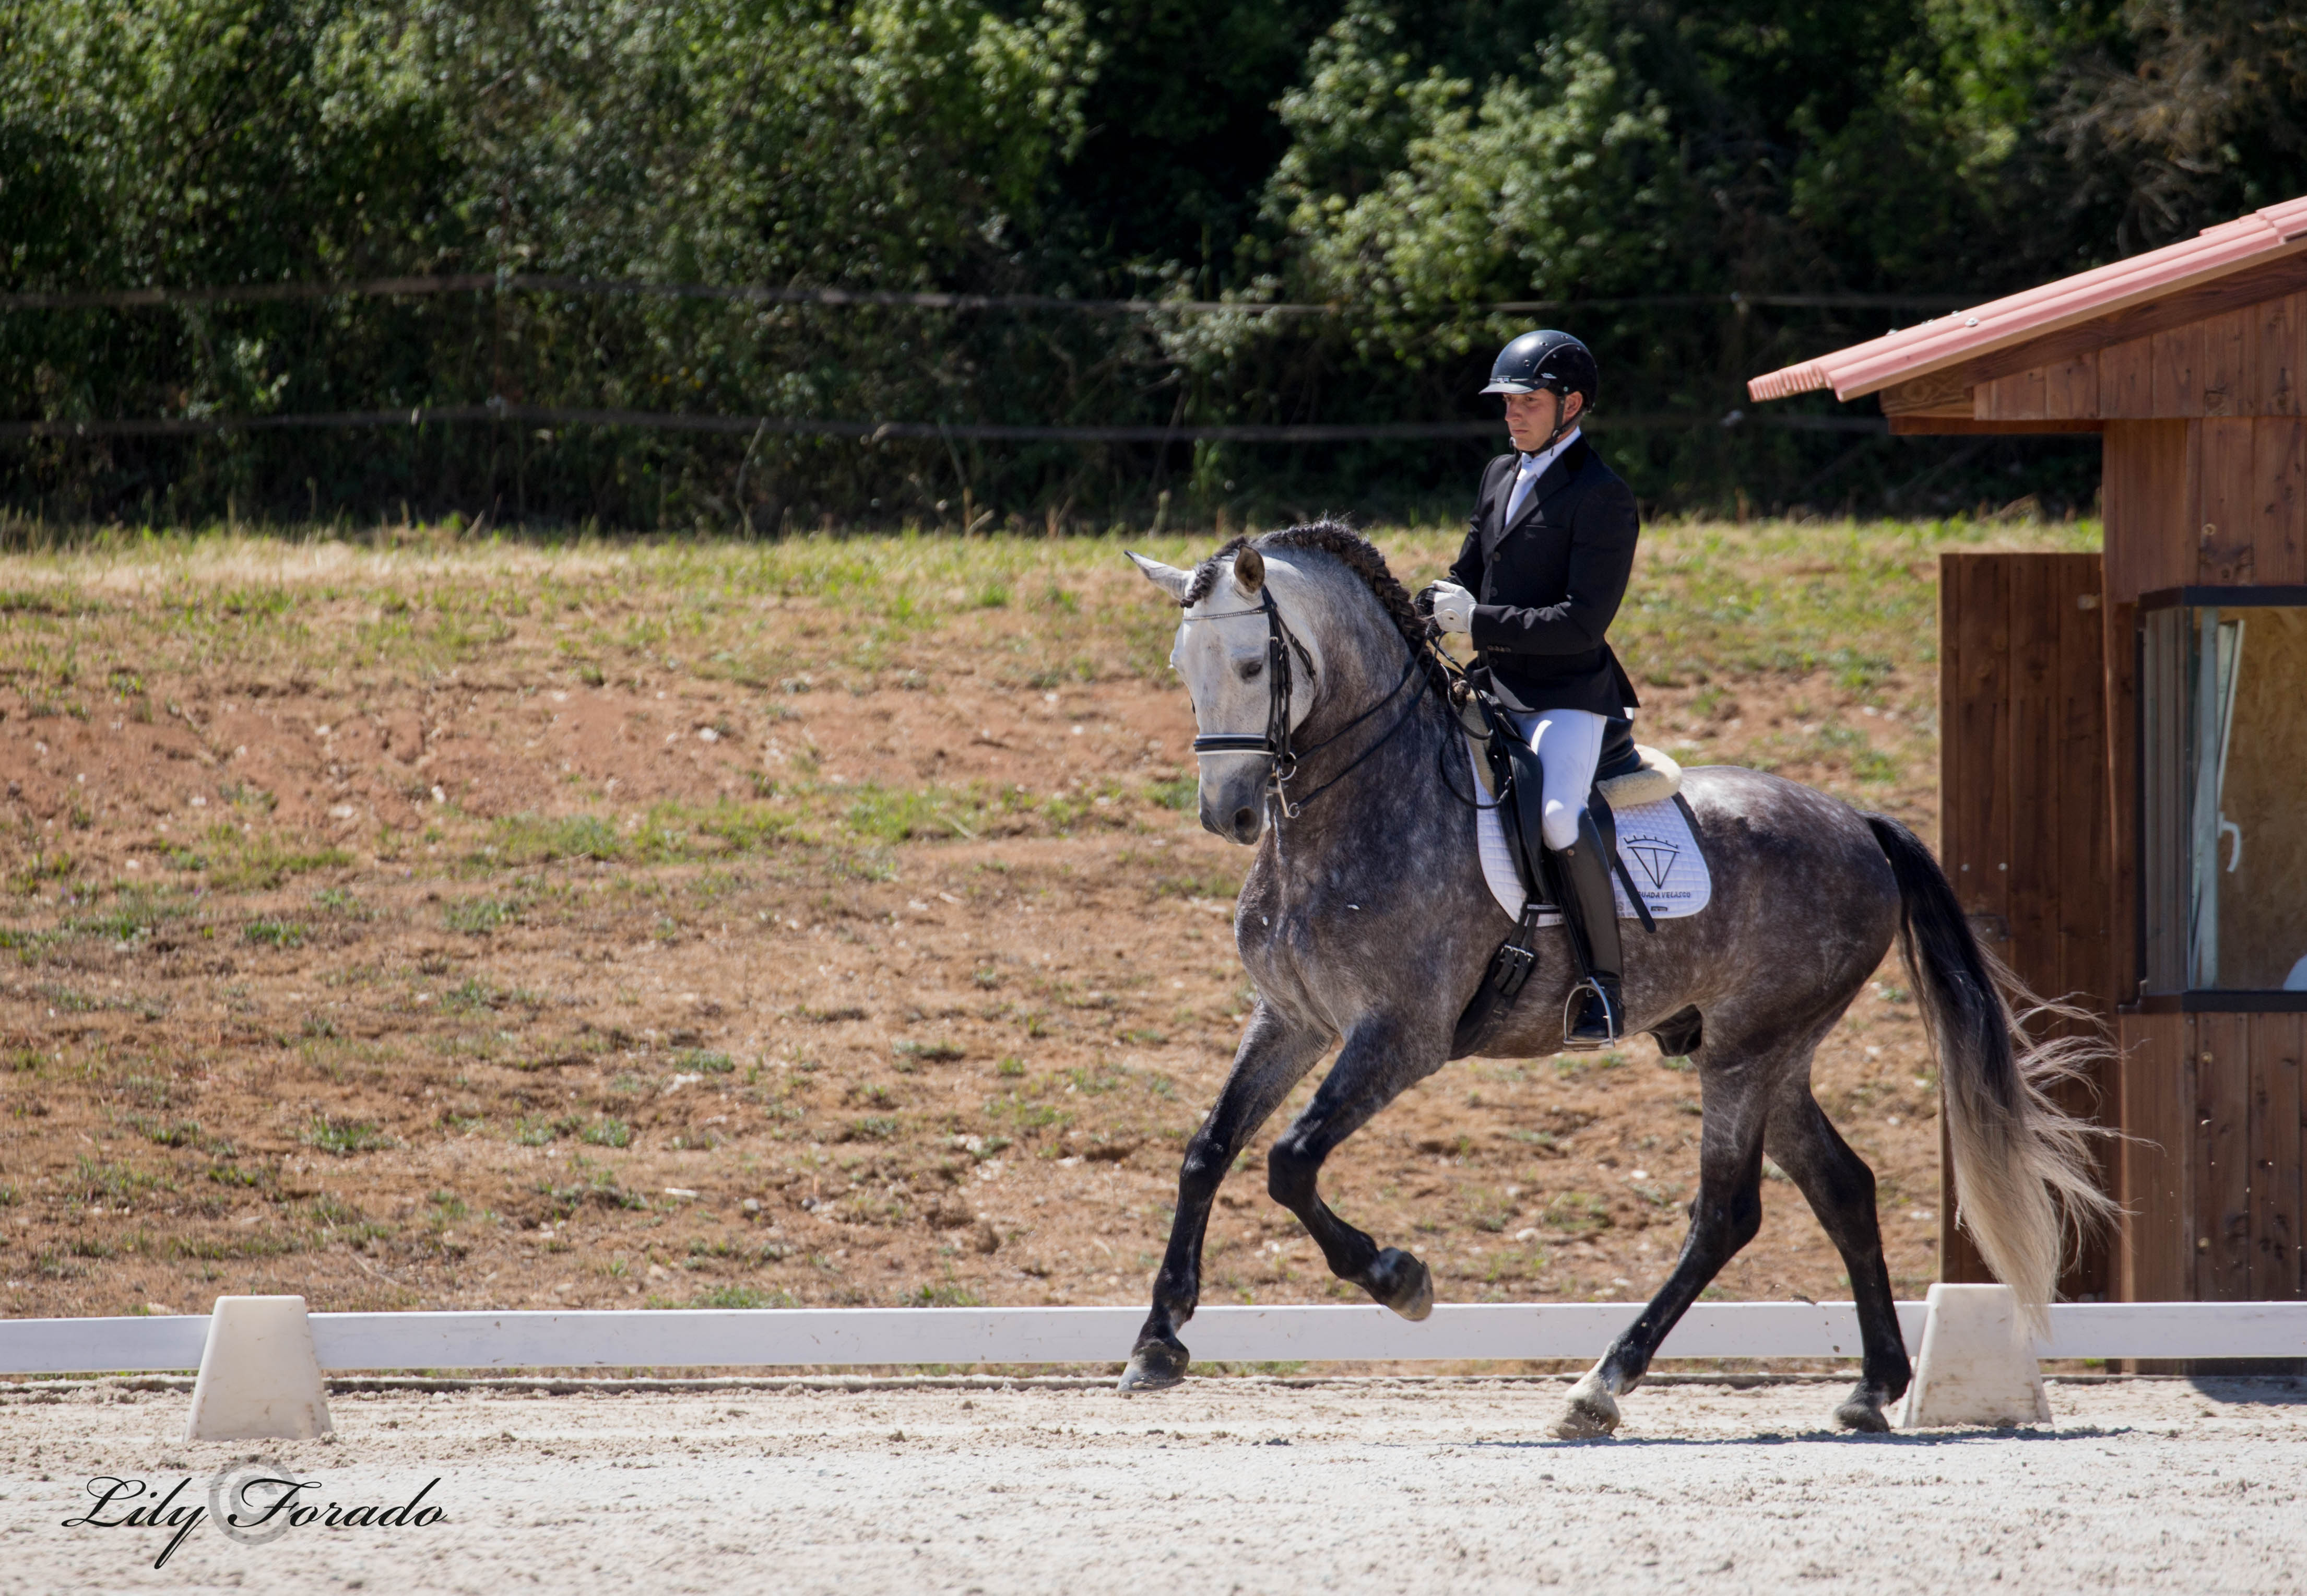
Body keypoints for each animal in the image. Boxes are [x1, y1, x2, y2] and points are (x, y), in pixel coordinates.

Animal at [1116, 523, 2113, 1429]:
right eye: (1182, 666)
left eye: (1252, 664)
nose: (1228, 814)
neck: (1354, 805)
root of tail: (1857, 824)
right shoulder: (1289, 1017)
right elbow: (1208, 1149)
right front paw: (1156, 1343)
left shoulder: (1400, 1035)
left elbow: (1288, 1162)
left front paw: (1399, 1279)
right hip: (1769, 1051)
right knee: (1841, 1185)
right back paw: (1869, 1389)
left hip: (1746, 1051)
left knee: (1725, 1213)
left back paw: (1600, 1384)